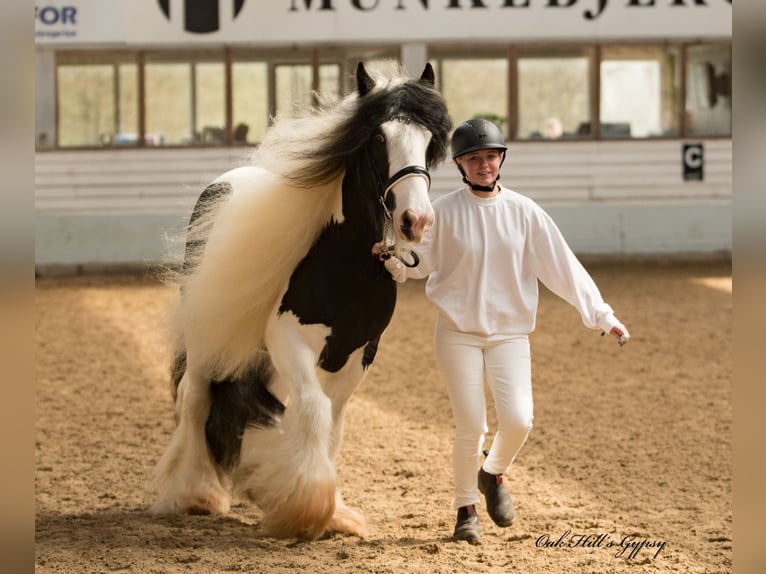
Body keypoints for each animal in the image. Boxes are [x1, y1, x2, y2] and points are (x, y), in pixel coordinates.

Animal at [151, 65, 452, 544]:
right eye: (377, 138)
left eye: (429, 140)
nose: (415, 220)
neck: (346, 265)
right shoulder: (288, 339)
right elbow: (313, 410)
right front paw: (305, 508)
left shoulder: (358, 354)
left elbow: (332, 424)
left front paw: (329, 510)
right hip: (208, 339)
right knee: (195, 398)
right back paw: (195, 493)